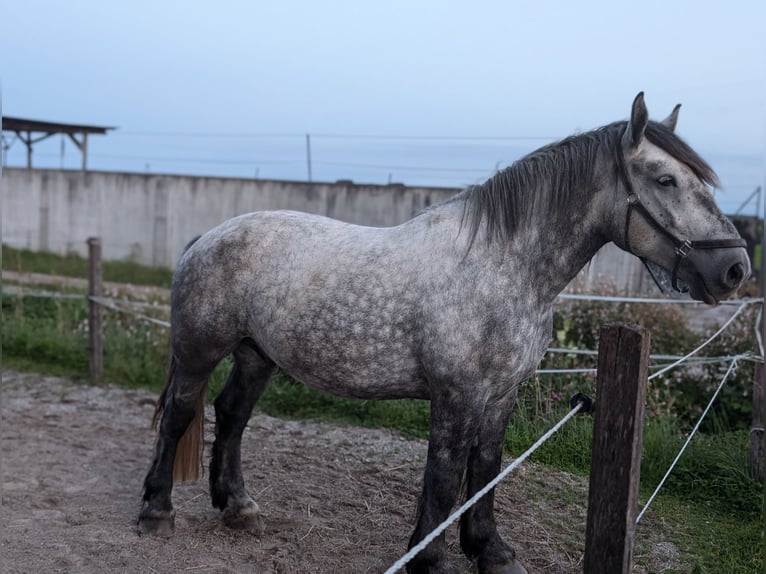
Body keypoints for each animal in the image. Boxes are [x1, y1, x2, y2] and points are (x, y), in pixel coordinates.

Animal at [136, 95, 752, 574]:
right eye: (666, 179)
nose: (735, 268)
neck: (505, 267)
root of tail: (207, 237)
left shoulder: (500, 394)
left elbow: (485, 469)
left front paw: (491, 551)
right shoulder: (456, 396)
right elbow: (444, 474)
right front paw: (428, 559)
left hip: (256, 355)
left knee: (232, 416)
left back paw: (237, 507)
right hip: (198, 351)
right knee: (181, 415)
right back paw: (156, 511)